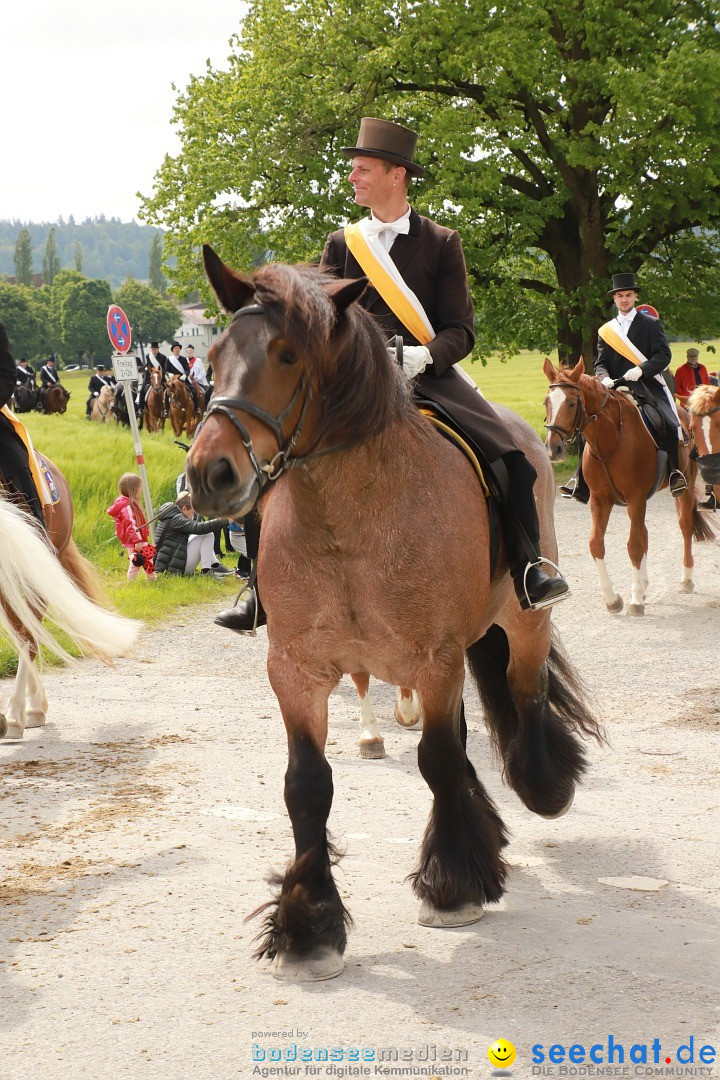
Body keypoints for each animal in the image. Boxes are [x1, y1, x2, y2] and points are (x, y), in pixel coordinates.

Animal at [185, 248, 604, 984]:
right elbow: (307, 786)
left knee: (524, 696)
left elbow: (437, 759)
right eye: (211, 354)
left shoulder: (434, 659)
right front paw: (308, 926)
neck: (344, 518)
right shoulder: (296, 671)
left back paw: (541, 784)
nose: (210, 474)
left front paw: (451, 887)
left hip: (521, 623)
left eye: (288, 354)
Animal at [544, 358, 712, 617]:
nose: (553, 449)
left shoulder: (635, 497)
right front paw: (613, 599)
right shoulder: (600, 500)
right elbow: (596, 544)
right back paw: (644, 585)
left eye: (572, 403)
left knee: (684, 527)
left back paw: (685, 580)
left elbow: (633, 546)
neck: (609, 441)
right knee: (644, 532)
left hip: (683, 486)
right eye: (546, 402)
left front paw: (634, 601)